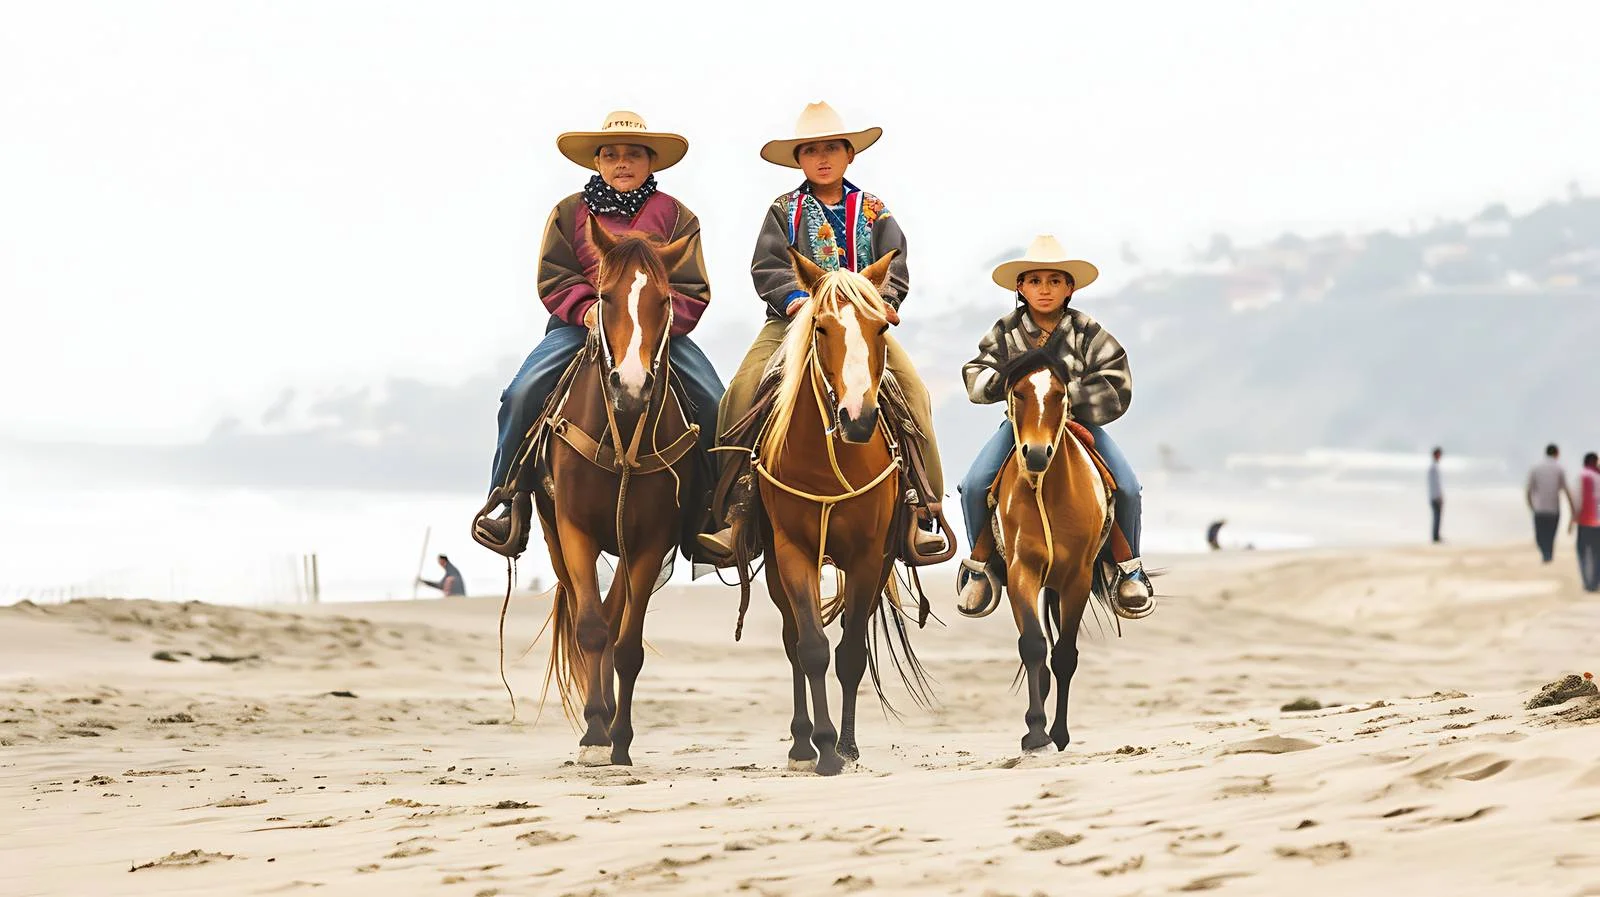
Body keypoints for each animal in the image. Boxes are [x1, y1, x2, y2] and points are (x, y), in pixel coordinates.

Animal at [532, 214, 702, 767]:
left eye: (666, 301)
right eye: (604, 297)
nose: (630, 385)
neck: (623, 428)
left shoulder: (649, 540)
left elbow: (627, 646)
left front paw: (621, 740)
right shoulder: (575, 530)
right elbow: (589, 629)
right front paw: (593, 735)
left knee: (614, 617)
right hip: (553, 536)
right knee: (591, 617)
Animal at [740, 246, 930, 777]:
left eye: (882, 327)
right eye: (821, 327)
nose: (857, 418)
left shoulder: (868, 557)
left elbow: (849, 654)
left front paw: (844, 746)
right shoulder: (792, 552)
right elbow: (811, 648)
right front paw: (821, 747)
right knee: (791, 640)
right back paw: (801, 743)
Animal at [990, 347, 1117, 752]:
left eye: (1061, 395)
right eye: (1018, 393)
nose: (1035, 454)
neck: (1047, 488)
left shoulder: (1077, 579)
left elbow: (1064, 656)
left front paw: (1058, 733)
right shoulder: (1022, 571)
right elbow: (1033, 646)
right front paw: (1035, 732)